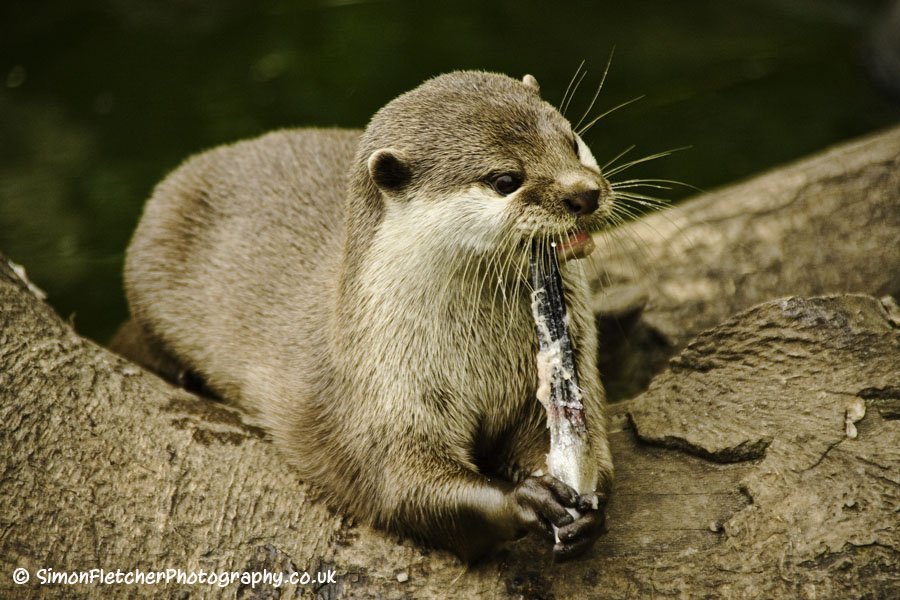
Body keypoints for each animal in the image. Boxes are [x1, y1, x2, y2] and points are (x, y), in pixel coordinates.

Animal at [112, 71, 616, 564]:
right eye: (506, 179)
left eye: (571, 141)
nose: (584, 194)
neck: (480, 364)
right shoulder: (381, 394)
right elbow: (406, 487)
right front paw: (524, 498)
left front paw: (585, 502)